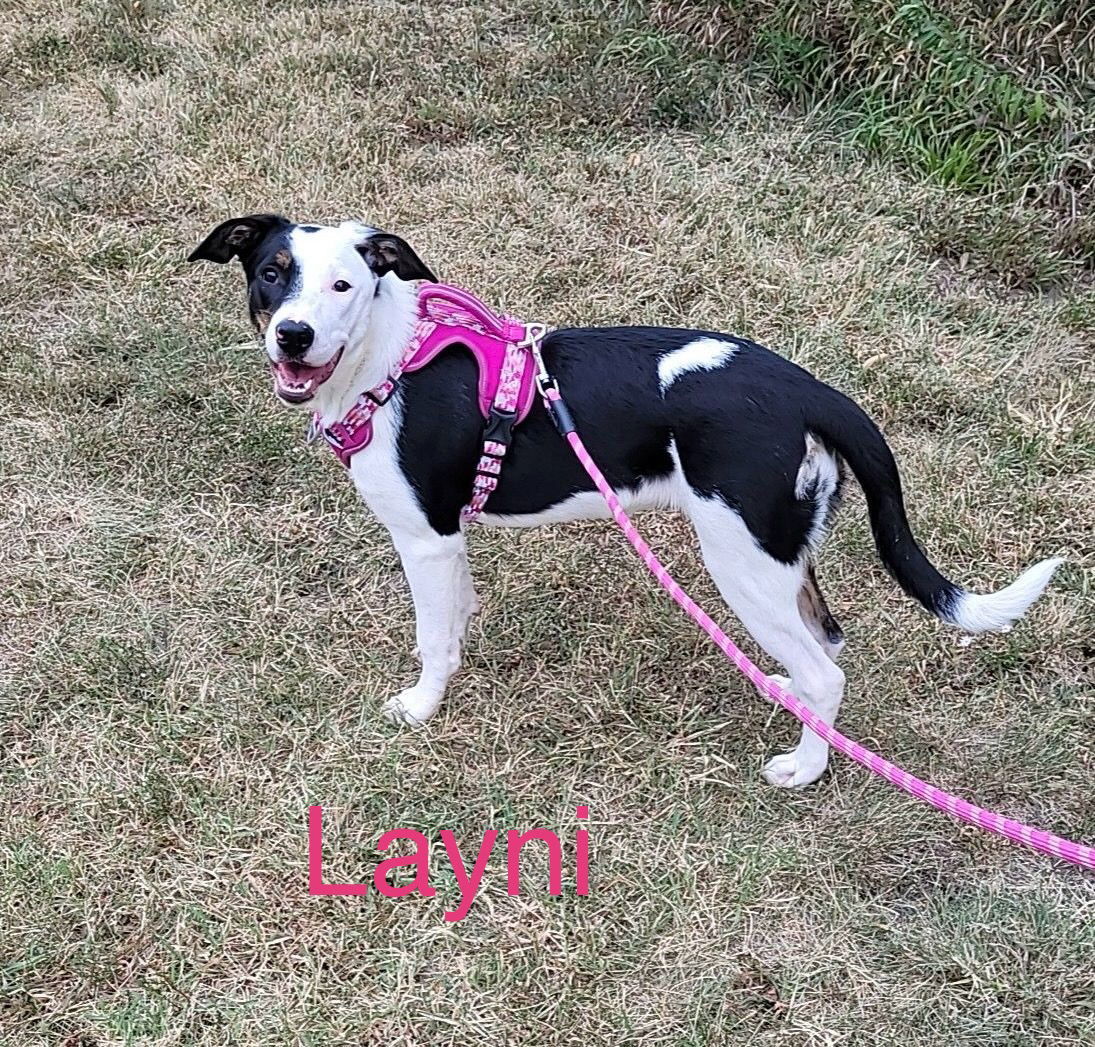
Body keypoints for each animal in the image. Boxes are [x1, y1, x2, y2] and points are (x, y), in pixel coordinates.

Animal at [192, 214, 1064, 784]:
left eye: (344, 283)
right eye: (271, 273)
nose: (293, 335)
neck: (388, 356)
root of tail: (809, 390)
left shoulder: (426, 538)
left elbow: (432, 640)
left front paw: (422, 707)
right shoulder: (452, 545)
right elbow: (460, 614)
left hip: (740, 561)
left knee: (827, 673)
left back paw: (804, 765)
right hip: (781, 552)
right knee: (827, 641)